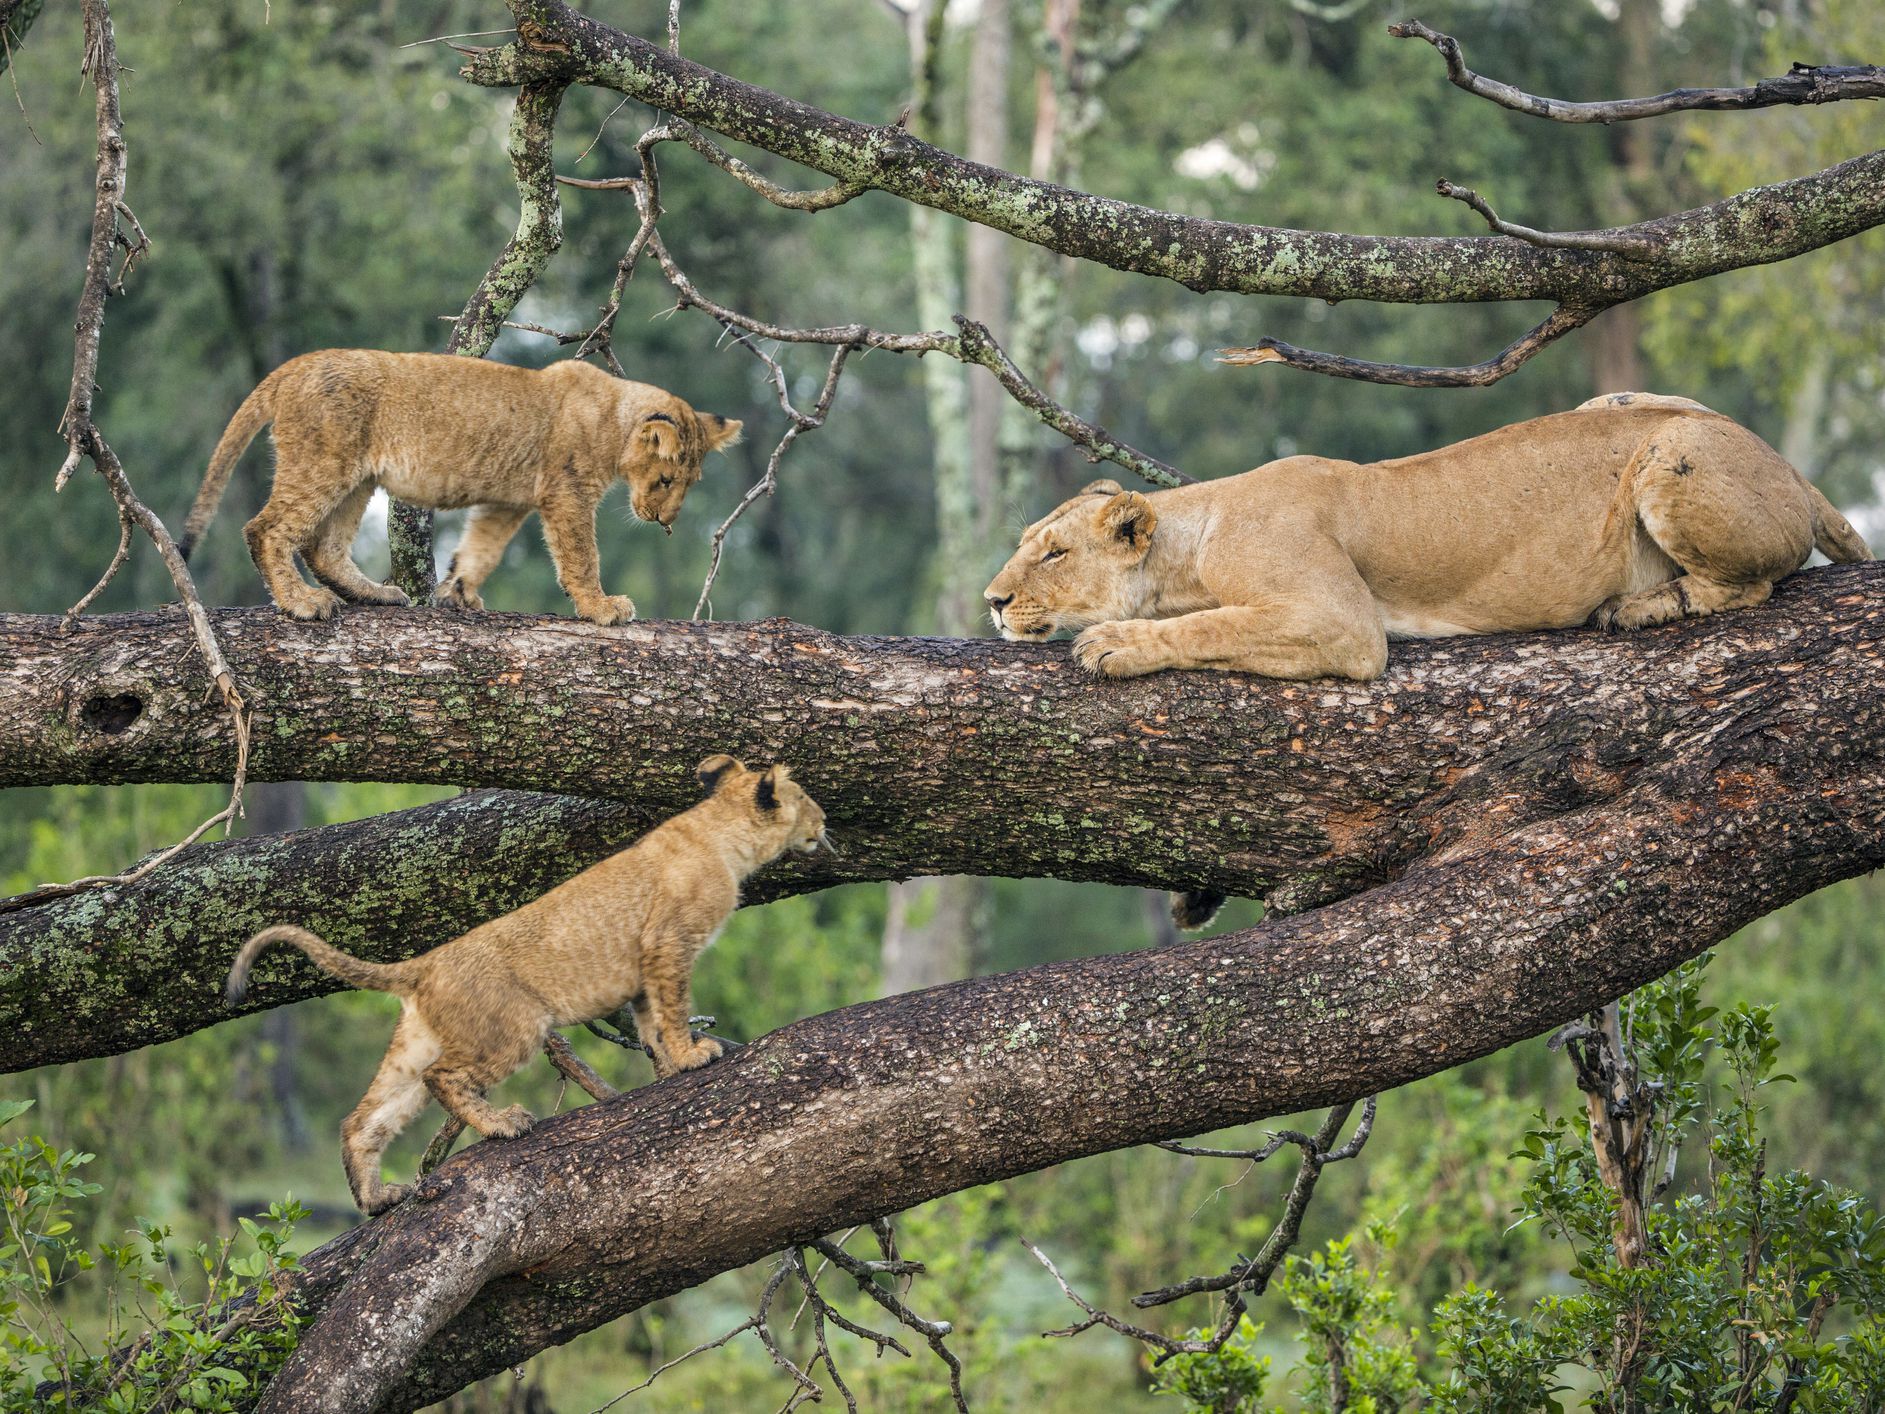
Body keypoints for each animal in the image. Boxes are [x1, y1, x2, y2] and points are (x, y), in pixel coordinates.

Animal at [987, 395, 1869, 682]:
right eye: (1027, 540)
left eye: (1054, 552)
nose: (991, 601)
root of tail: (1791, 471)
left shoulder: (1340, 620)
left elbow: (1212, 625)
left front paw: (1113, 642)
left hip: (1670, 450)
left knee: (1750, 583)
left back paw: (1643, 605)